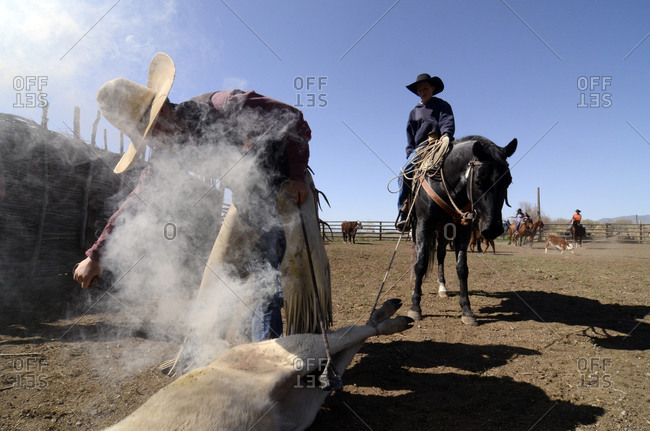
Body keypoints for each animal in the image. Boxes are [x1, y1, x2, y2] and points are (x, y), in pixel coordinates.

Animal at [408, 137, 512, 326]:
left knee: (441, 254)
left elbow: (462, 268)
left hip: (444, 230)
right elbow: (420, 263)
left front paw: (467, 310)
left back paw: (442, 287)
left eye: (508, 181)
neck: (444, 185)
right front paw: (415, 307)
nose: (493, 228)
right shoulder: (423, 225)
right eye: (478, 181)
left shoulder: (463, 229)